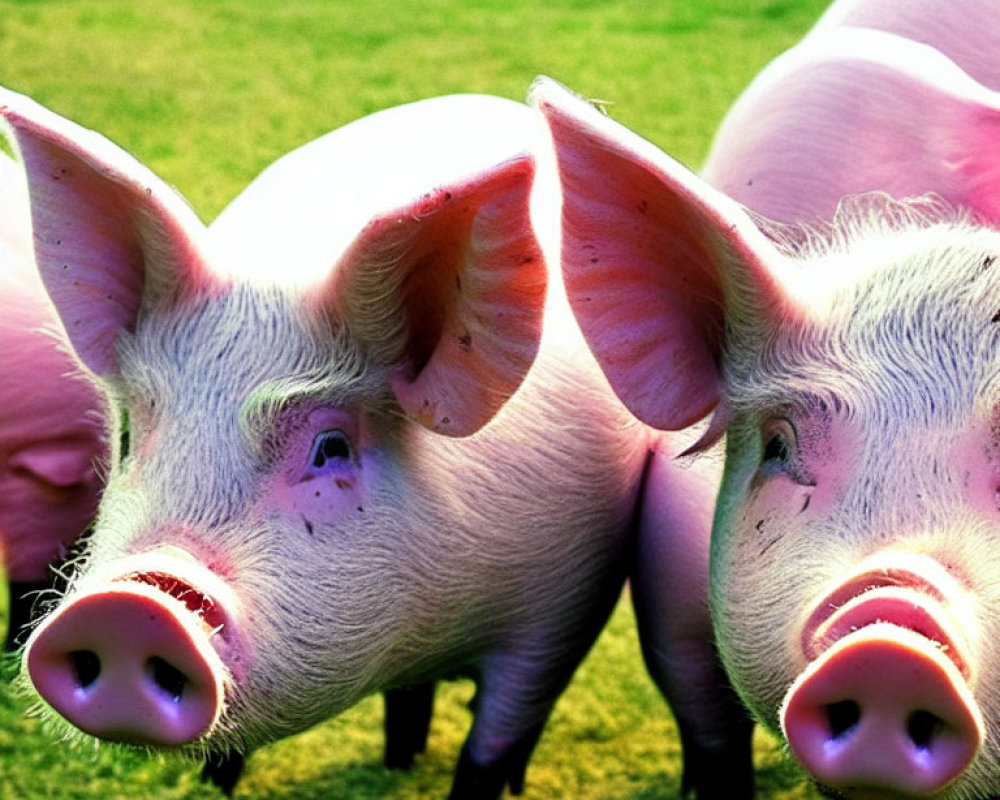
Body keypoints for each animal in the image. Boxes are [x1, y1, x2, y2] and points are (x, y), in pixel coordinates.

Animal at [0, 87, 752, 800]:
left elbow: (492, 746)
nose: (127, 606)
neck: (427, 632)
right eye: (130, 436)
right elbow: (229, 753)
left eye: (331, 448)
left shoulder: (558, 611)